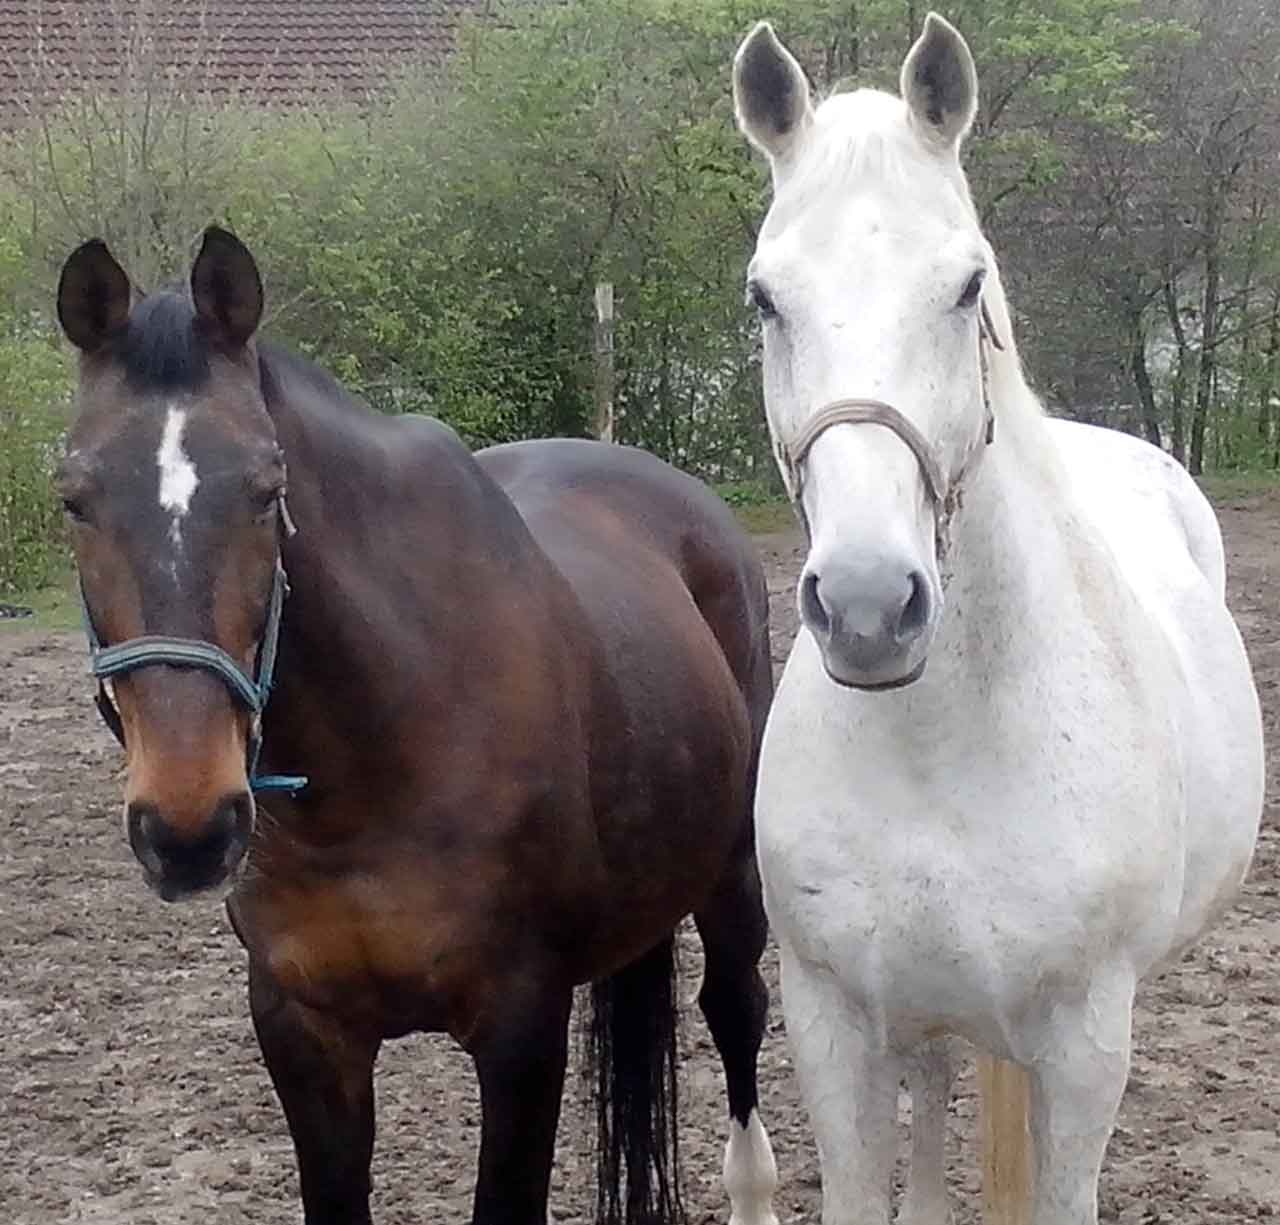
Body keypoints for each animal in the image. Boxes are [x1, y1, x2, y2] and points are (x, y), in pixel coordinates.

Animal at [54, 227, 783, 1225]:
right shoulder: (304, 1031)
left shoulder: (521, 1028)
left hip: (732, 868)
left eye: (266, 487)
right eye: (74, 497)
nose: (189, 824)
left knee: (735, 1009)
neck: (372, 757)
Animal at [732, 13, 1263, 1225]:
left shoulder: (1081, 1044)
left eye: (968, 286)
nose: (869, 606)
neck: (940, 743)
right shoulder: (833, 1026)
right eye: (763, 298)